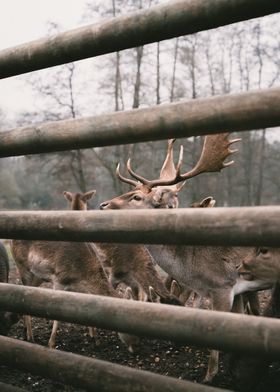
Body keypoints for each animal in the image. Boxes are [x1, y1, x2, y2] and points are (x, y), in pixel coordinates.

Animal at [99, 134, 274, 382]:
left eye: (137, 197)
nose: (103, 204)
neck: (192, 266)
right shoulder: (237, 290)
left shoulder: (221, 286)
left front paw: (209, 377)